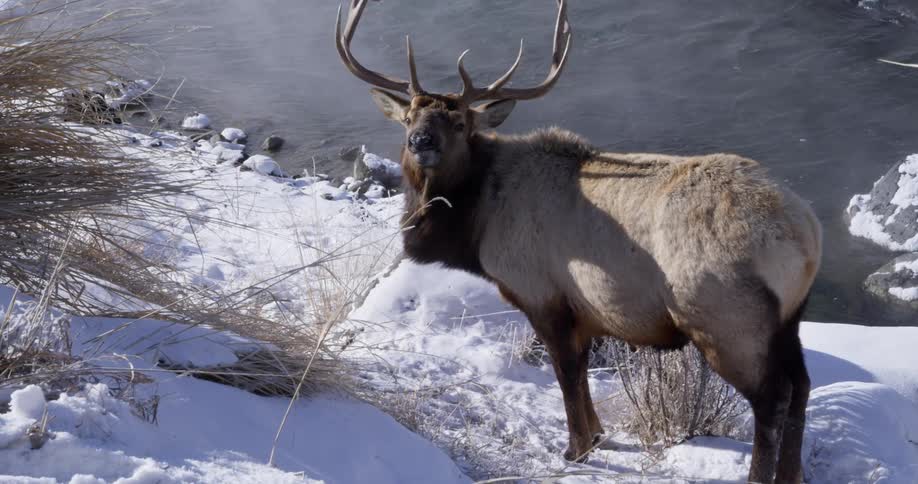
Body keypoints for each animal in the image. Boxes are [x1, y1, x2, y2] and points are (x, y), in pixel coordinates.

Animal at [335, 1, 822, 482]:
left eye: (458, 122)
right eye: (409, 116)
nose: (420, 141)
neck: (476, 223)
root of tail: (806, 235)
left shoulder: (541, 293)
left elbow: (566, 373)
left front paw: (576, 449)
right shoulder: (586, 308)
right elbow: (583, 372)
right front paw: (600, 435)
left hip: (726, 318)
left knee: (772, 398)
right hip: (788, 317)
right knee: (801, 387)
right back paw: (791, 474)